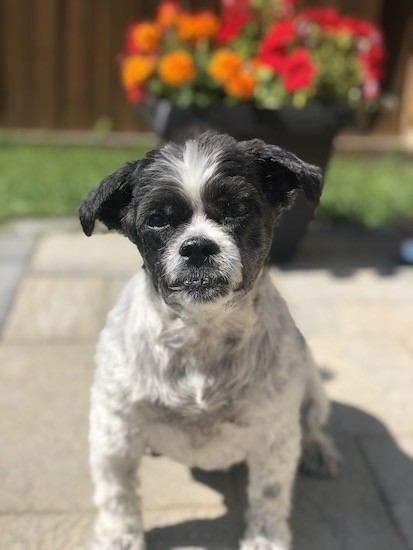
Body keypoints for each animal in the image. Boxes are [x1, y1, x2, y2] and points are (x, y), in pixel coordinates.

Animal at [79, 132, 340, 548]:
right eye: (157, 219)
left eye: (236, 209)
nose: (198, 246)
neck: (200, 336)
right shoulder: (114, 429)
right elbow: (118, 495)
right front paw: (119, 536)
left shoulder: (274, 434)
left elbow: (269, 495)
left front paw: (265, 539)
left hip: (313, 390)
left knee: (313, 423)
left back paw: (317, 448)